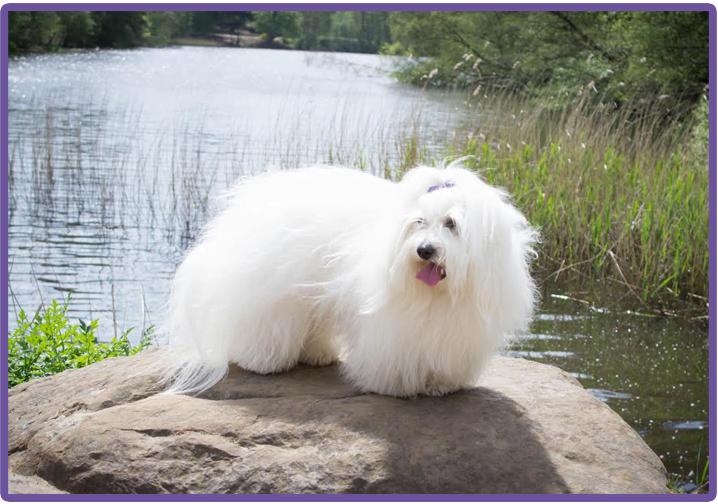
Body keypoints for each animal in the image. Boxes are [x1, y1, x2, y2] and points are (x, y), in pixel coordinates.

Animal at [162, 161, 536, 398]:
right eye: (418, 222)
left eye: (451, 224)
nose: (424, 250)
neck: (438, 294)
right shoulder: (392, 327)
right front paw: (397, 386)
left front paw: (441, 384)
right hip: (274, 288)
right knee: (264, 322)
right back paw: (265, 361)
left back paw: (316, 354)